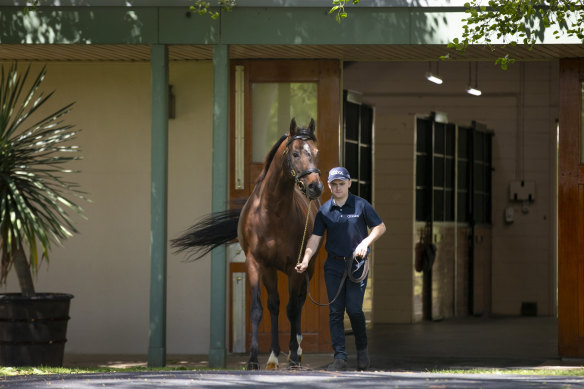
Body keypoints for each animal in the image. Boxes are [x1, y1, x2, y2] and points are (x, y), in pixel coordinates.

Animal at [171, 118, 324, 370]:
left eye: (317, 153)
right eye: (295, 153)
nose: (315, 187)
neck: (272, 213)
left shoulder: (295, 267)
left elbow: (292, 310)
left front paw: (293, 356)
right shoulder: (255, 263)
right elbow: (257, 310)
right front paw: (254, 359)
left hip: (306, 268)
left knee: (299, 303)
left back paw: (297, 352)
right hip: (271, 271)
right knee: (274, 305)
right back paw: (273, 357)